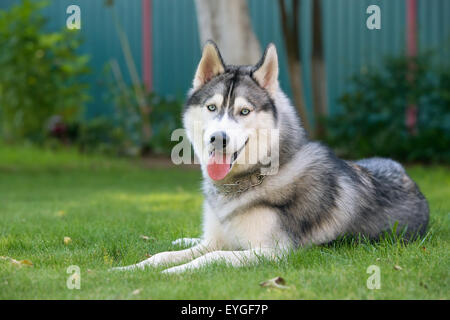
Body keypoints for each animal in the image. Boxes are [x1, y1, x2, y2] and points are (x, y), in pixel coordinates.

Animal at [113, 41, 428, 274]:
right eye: (212, 107)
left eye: (244, 111)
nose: (218, 139)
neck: (247, 180)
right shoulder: (217, 240)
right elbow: (163, 255)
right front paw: (131, 269)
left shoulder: (275, 253)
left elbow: (212, 258)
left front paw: (173, 273)